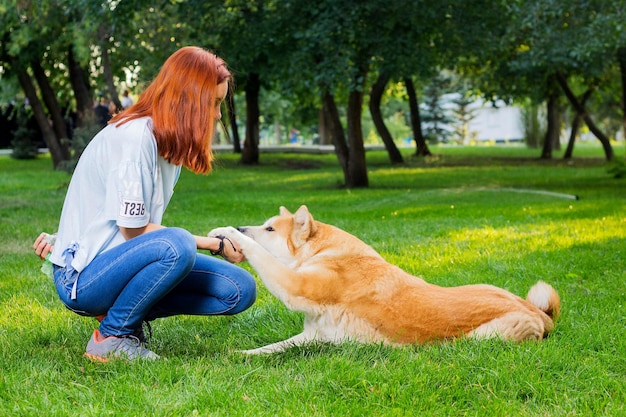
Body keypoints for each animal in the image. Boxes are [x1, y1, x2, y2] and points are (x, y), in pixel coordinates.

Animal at [207, 203, 560, 352]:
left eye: (269, 228)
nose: (240, 227)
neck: (326, 252)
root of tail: (538, 313)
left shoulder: (295, 285)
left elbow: (261, 255)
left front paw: (228, 233)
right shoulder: (313, 335)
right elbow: (269, 349)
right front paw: (239, 357)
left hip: (483, 337)